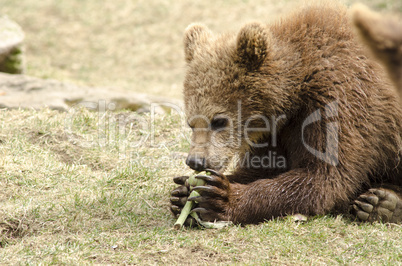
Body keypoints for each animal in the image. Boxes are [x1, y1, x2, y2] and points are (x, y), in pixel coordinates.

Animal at [170, 3, 402, 224]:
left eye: (219, 121)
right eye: (191, 122)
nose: (196, 161)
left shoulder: (339, 102)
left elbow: (323, 176)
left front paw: (220, 197)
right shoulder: (273, 132)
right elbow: (262, 169)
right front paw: (183, 191)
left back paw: (381, 204)